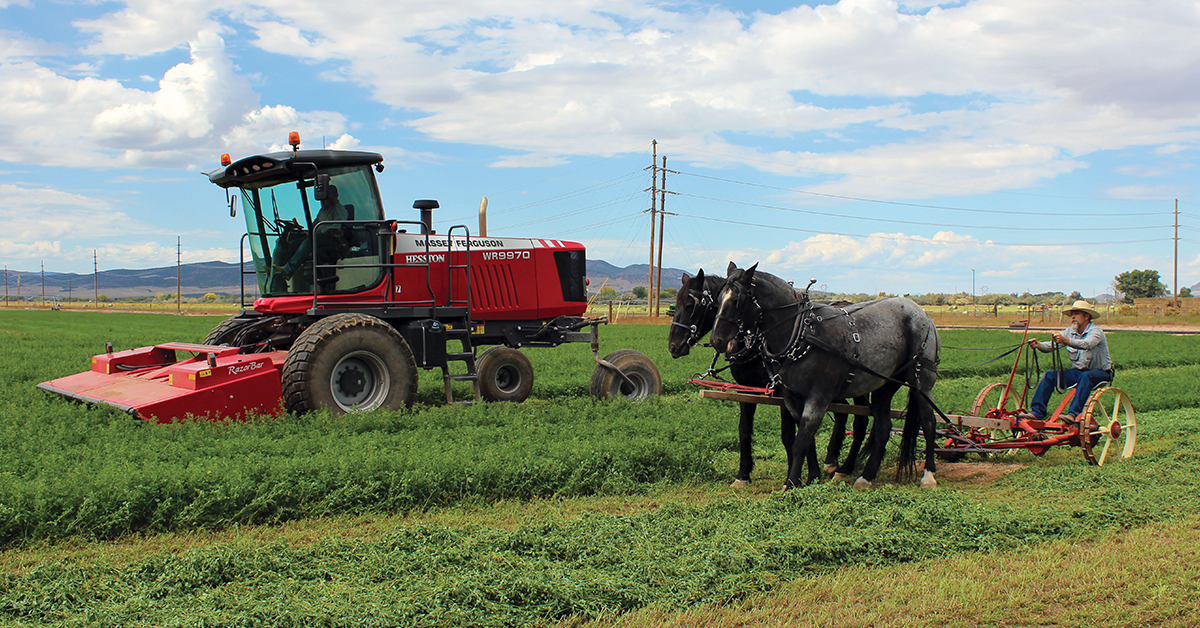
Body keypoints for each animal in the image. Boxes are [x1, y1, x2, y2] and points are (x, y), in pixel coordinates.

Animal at [667, 267, 873, 489]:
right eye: (675, 305)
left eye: (689, 306)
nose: (673, 346)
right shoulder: (745, 388)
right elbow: (744, 430)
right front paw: (743, 474)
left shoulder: (783, 391)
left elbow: (789, 434)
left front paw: (799, 477)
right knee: (843, 413)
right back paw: (832, 461)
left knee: (861, 419)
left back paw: (846, 468)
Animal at [705, 262, 940, 489]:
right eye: (718, 298)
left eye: (737, 300)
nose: (717, 340)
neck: (800, 333)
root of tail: (921, 312)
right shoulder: (791, 397)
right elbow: (805, 440)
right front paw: (811, 478)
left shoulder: (819, 395)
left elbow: (800, 440)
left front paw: (790, 484)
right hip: (885, 384)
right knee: (883, 427)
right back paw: (866, 476)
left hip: (921, 380)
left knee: (928, 422)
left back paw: (928, 475)